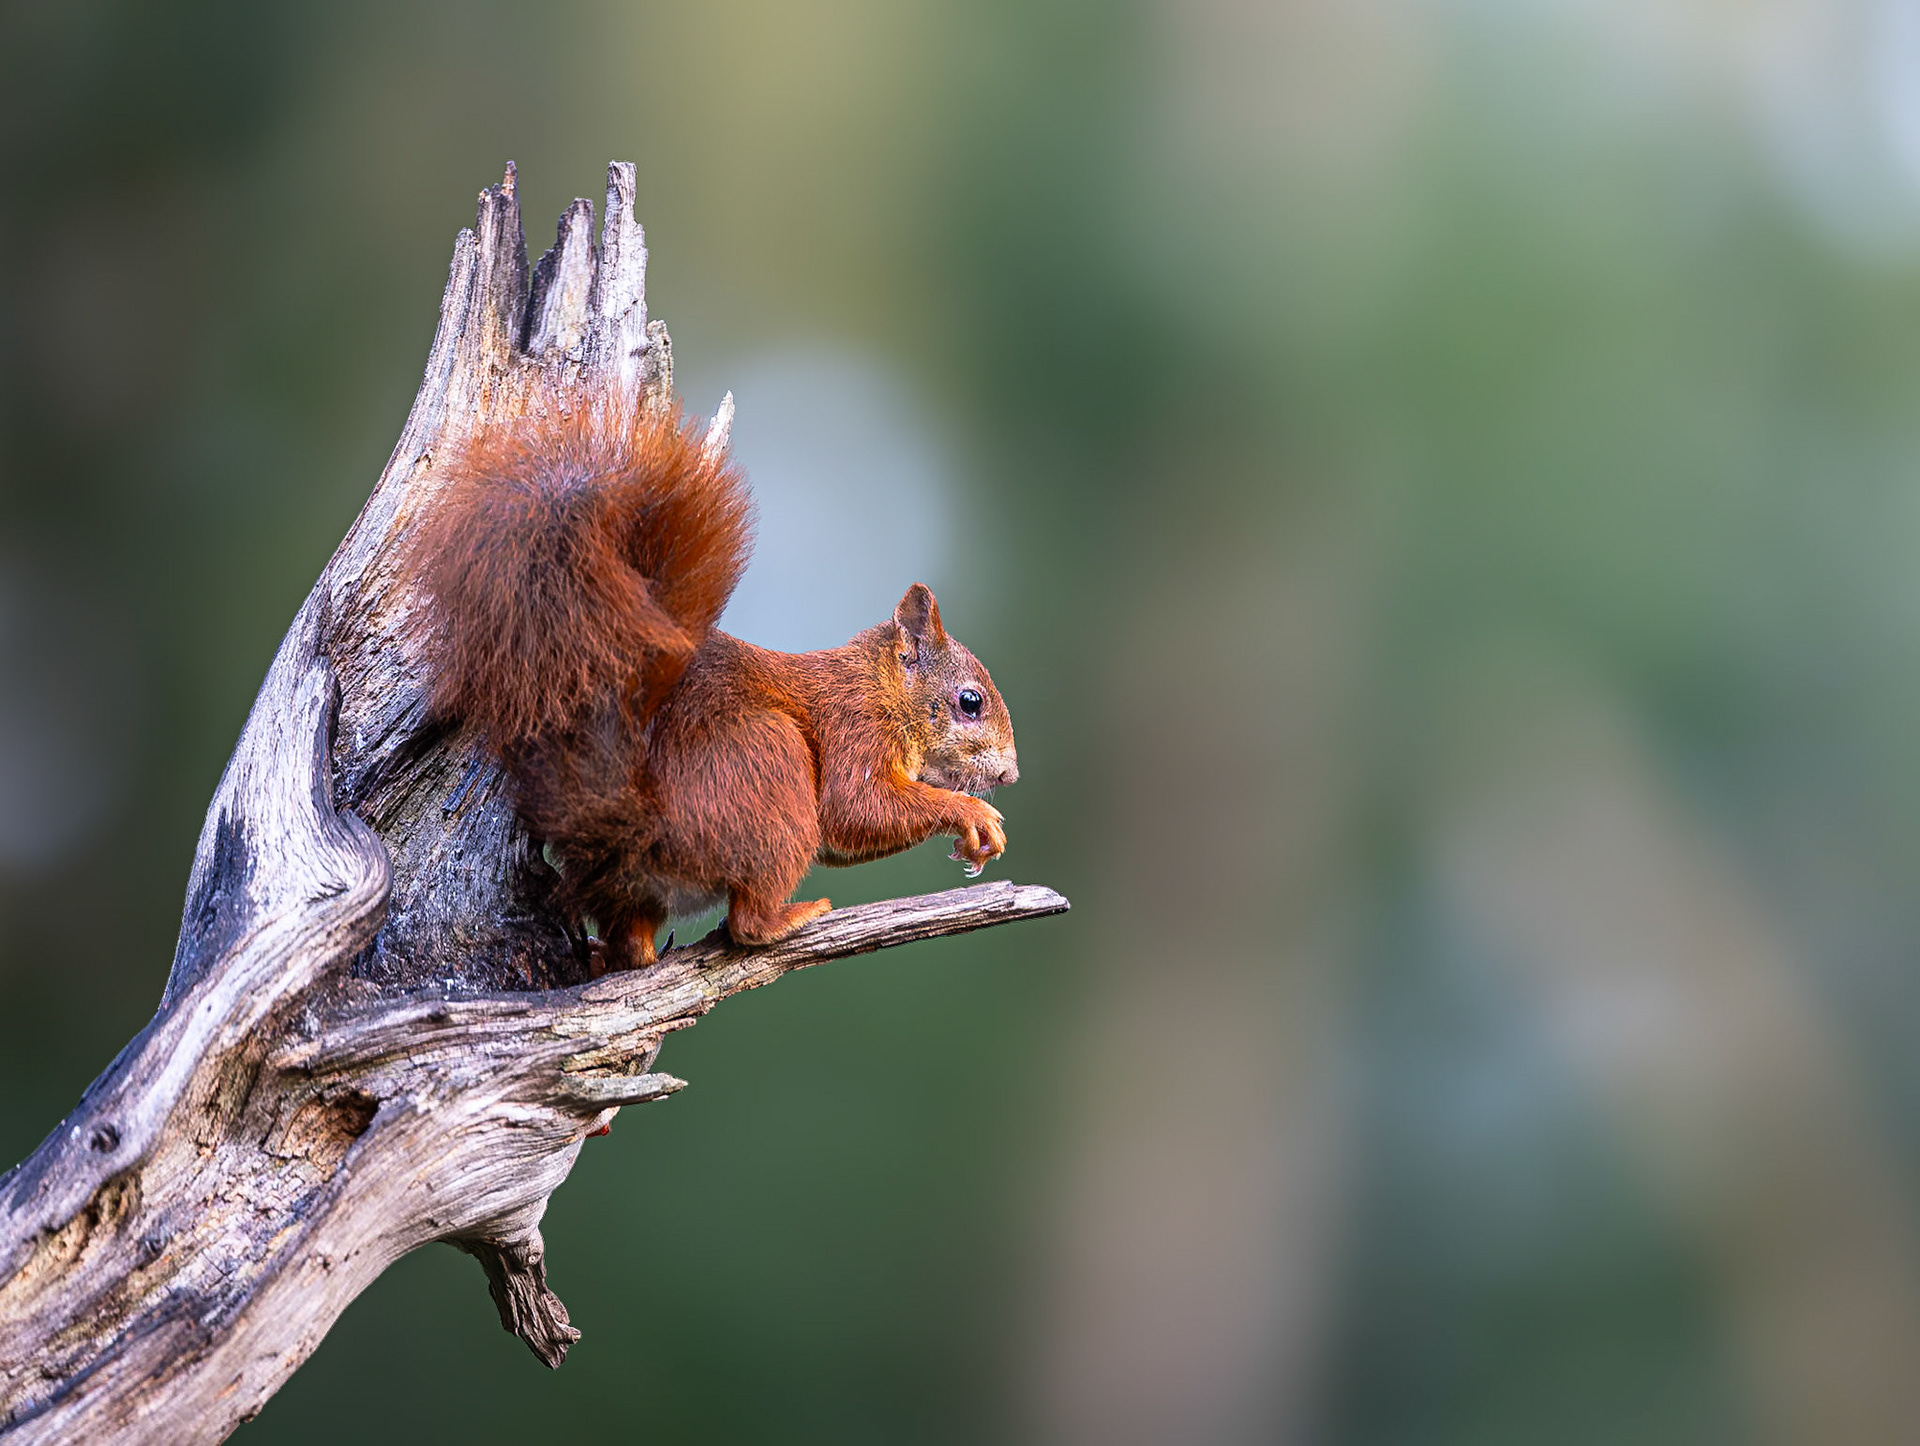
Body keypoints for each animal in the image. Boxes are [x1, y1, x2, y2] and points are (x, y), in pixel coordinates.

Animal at [399, 393, 1018, 973]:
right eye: (969, 701)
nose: (1010, 775)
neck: (882, 688)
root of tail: (639, 827)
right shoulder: (855, 727)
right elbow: (856, 809)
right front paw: (973, 813)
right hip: (769, 764)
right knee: (747, 921)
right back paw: (790, 916)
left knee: (634, 940)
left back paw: (611, 955)